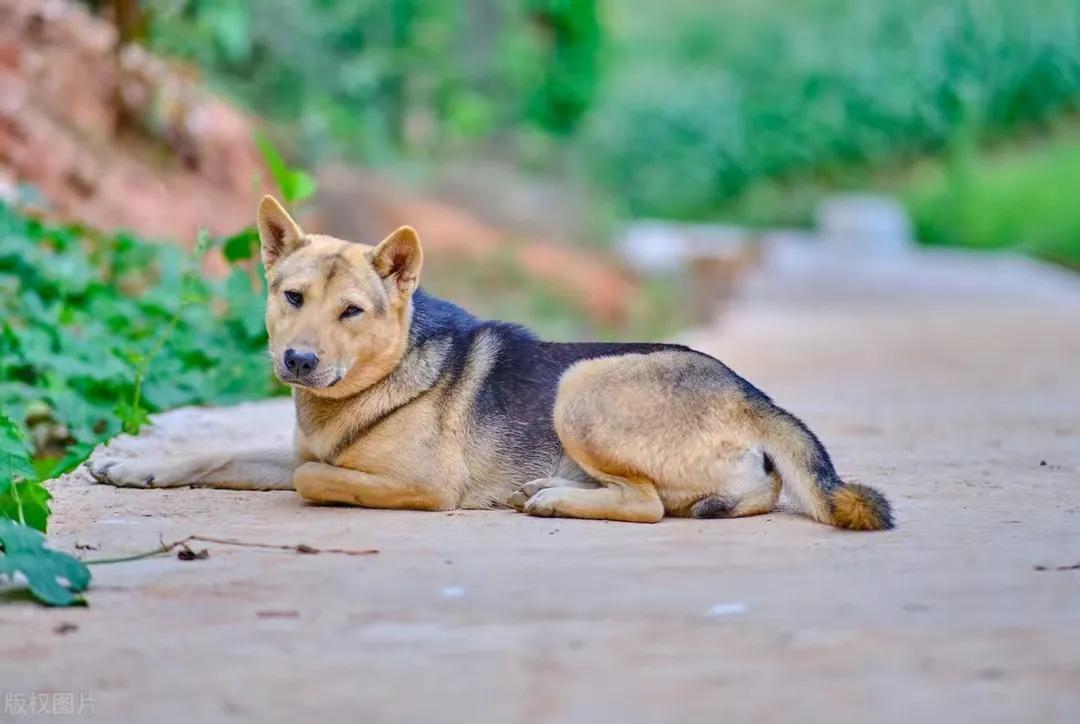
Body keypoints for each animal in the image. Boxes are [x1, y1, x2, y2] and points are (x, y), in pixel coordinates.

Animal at [92, 195, 889, 529]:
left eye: (351, 312)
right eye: (291, 297)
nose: (299, 360)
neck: (379, 380)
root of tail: (752, 395)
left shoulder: (419, 485)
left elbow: (314, 478)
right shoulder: (288, 448)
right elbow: (216, 455)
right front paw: (132, 467)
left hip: (583, 386)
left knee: (649, 504)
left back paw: (556, 498)